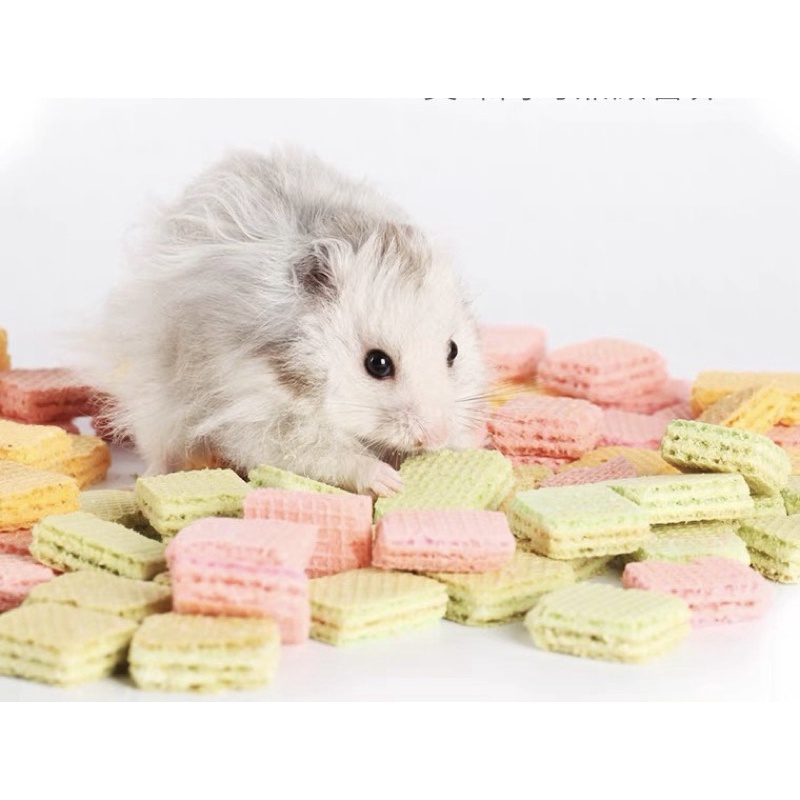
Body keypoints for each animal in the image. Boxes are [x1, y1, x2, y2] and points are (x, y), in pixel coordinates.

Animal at [91, 149, 489, 495]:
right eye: (377, 364)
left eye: (453, 351)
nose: (435, 435)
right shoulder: (259, 420)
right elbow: (328, 455)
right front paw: (389, 481)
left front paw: (466, 444)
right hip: (153, 402)